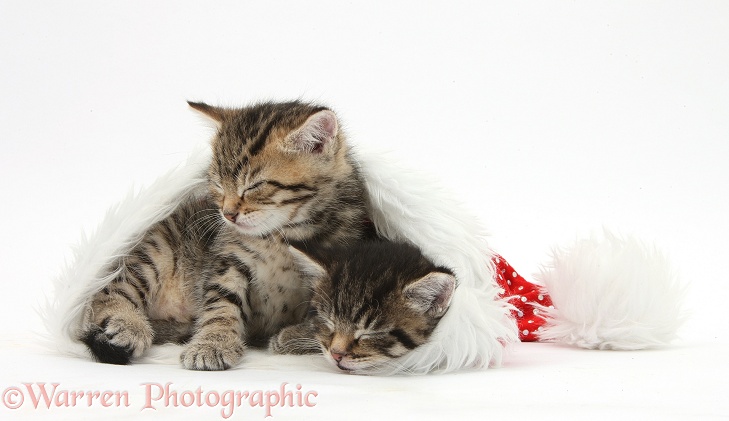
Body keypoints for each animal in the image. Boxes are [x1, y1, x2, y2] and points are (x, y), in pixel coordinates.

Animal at [82, 100, 372, 370]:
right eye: (218, 184)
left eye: (254, 186)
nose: (228, 214)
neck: (280, 235)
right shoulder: (228, 258)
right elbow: (221, 302)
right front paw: (212, 343)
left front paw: (295, 337)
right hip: (158, 248)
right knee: (106, 293)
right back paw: (130, 325)